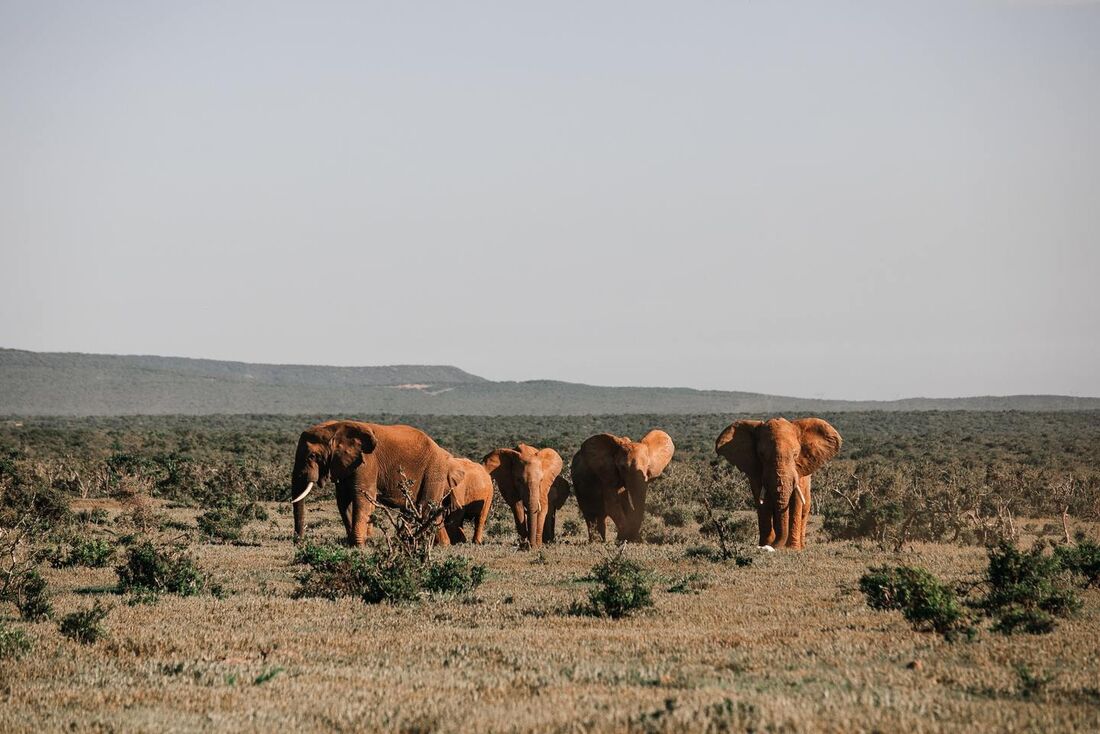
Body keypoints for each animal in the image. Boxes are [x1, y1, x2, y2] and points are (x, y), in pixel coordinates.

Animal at [290, 422, 457, 548]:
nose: (298, 542)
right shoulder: (344, 464)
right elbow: (343, 500)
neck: (335, 428)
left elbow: (362, 496)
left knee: (426, 507)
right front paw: (353, 542)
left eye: (312, 456)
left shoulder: (367, 461)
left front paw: (358, 545)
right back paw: (437, 544)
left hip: (434, 470)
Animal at [712, 418, 840, 550]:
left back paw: (801, 546)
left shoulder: (799, 473)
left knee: (804, 509)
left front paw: (792, 548)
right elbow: (763, 503)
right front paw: (766, 544)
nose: (769, 547)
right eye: (761, 455)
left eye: (795, 454)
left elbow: (796, 502)